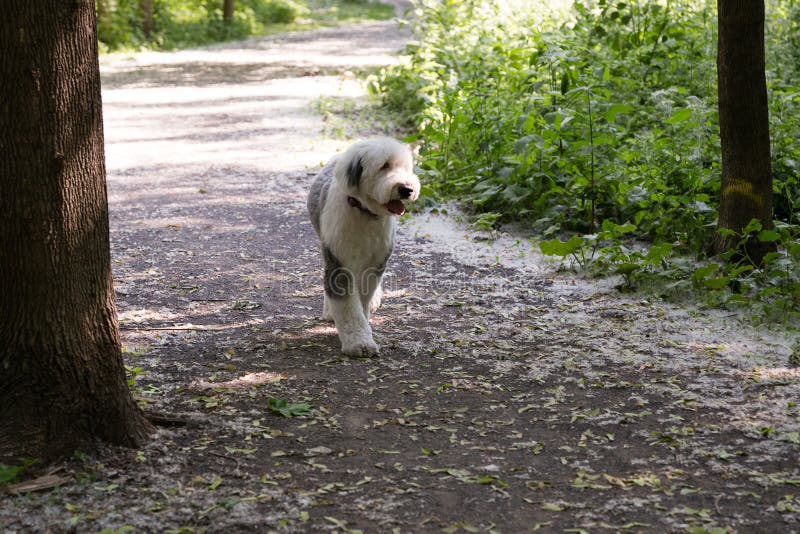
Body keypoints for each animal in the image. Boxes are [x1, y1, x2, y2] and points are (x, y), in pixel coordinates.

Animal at [306, 138, 418, 358]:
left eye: (405, 167)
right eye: (384, 166)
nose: (407, 188)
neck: (365, 212)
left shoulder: (376, 262)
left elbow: (364, 298)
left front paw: (366, 323)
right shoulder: (338, 260)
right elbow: (348, 307)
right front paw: (359, 343)